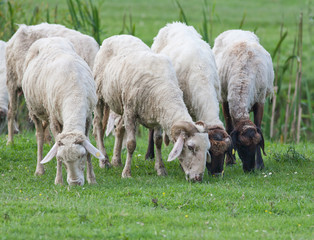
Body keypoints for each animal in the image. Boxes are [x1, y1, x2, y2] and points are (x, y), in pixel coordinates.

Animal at [22, 36, 105, 185]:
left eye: (81, 156)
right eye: (63, 160)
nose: (75, 183)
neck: (74, 94)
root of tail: (49, 38)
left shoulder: (88, 118)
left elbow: (89, 147)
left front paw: (92, 179)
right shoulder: (54, 120)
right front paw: (59, 180)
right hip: (34, 109)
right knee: (39, 136)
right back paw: (39, 169)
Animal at [93, 34, 211, 182]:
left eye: (207, 148)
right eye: (190, 147)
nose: (198, 178)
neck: (164, 89)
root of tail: (118, 36)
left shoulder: (158, 114)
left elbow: (158, 141)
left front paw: (161, 169)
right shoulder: (131, 112)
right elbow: (131, 144)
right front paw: (127, 173)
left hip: (120, 103)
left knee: (119, 127)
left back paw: (116, 161)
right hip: (99, 95)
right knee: (98, 126)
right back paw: (104, 161)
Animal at [212, 29, 274, 172]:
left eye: (257, 144)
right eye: (240, 146)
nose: (249, 169)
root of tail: (235, 30)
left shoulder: (260, 100)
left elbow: (258, 126)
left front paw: (260, 164)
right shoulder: (226, 99)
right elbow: (229, 128)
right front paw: (229, 161)